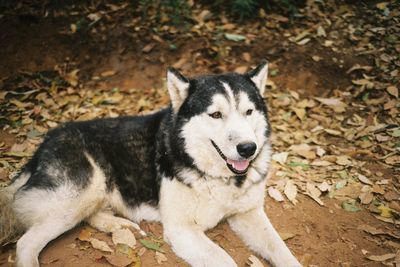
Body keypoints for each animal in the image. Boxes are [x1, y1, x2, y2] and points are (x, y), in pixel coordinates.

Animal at [0, 61, 300, 267]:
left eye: (249, 111)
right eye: (216, 114)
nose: (248, 149)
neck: (217, 177)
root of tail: (42, 146)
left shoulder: (248, 213)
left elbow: (283, 252)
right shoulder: (182, 229)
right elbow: (225, 259)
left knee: (91, 215)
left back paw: (120, 226)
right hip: (84, 190)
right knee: (26, 243)